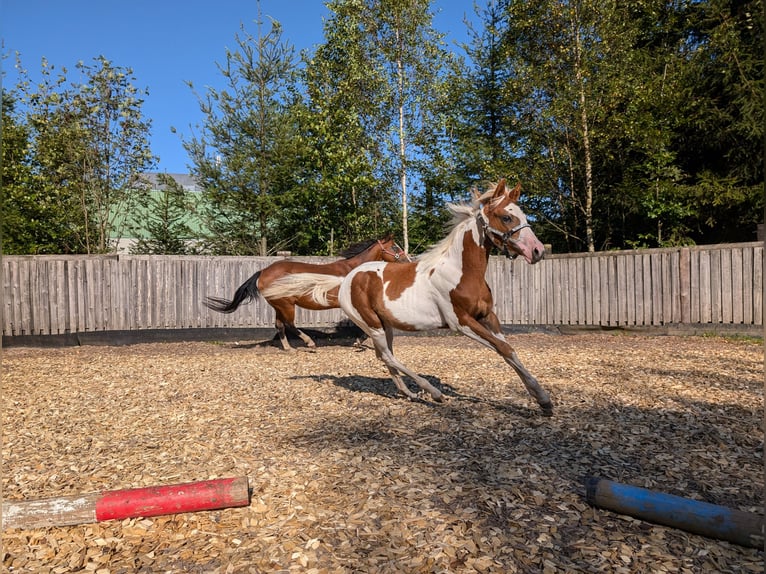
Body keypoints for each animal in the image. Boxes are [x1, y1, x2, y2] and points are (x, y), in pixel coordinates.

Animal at [202, 233, 408, 352]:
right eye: (395, 247)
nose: (408, 260)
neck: (353, 271)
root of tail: (263, 272)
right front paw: (359, 342)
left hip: (279, 305)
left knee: (280, 325)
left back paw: (288, 348)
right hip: (286, 304)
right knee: (290, 325)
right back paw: (309, 343)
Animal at [340, 182, 556, 416]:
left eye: (523, 215)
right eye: (506, 217)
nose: (537, 251)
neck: (461, 272)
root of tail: (348, 279)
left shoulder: (488, 316)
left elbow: (510, 351)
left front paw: (543, 400)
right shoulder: (461, 322)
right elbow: (503, 348)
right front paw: (543, 399)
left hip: (385, 325)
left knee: (384, 356)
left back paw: (409, 393)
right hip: (372, 325)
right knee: (387, 356)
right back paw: (434, 393)